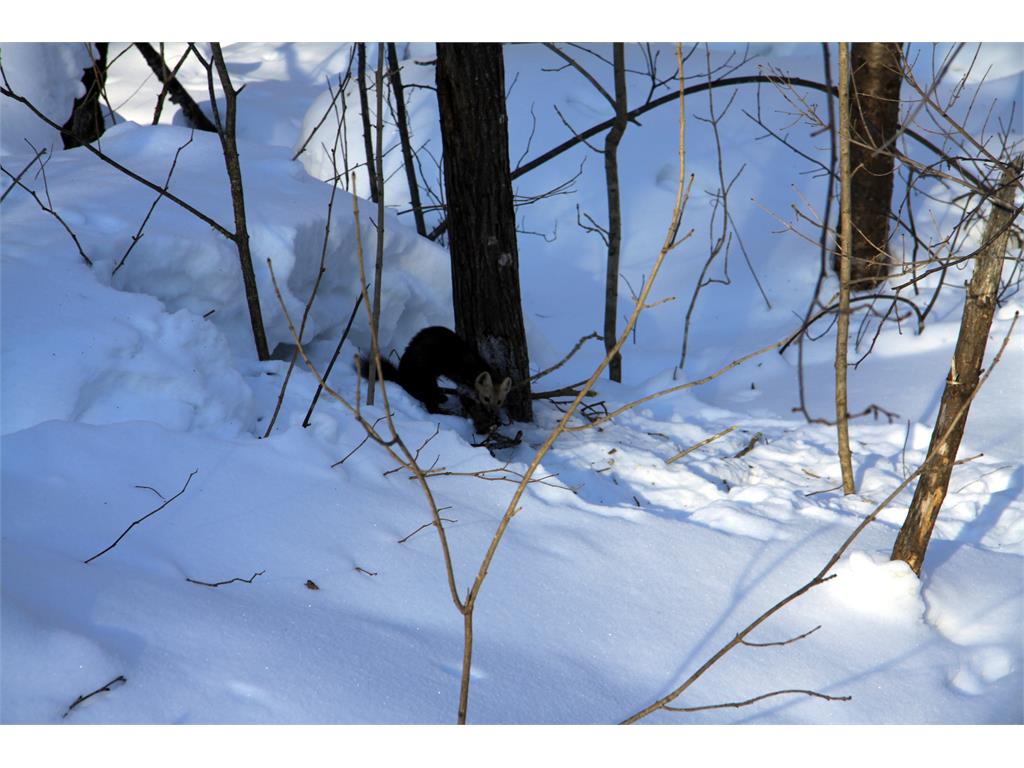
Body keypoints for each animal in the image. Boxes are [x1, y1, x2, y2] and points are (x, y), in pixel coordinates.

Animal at [356, 326, 512, 432]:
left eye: (500, 401)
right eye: (486, 398)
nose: (493, 411)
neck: (472, 364)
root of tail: (401, 375)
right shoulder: (459, 375)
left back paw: (442, 397)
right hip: (425, 377)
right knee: (430, 404)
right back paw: (445, 409)